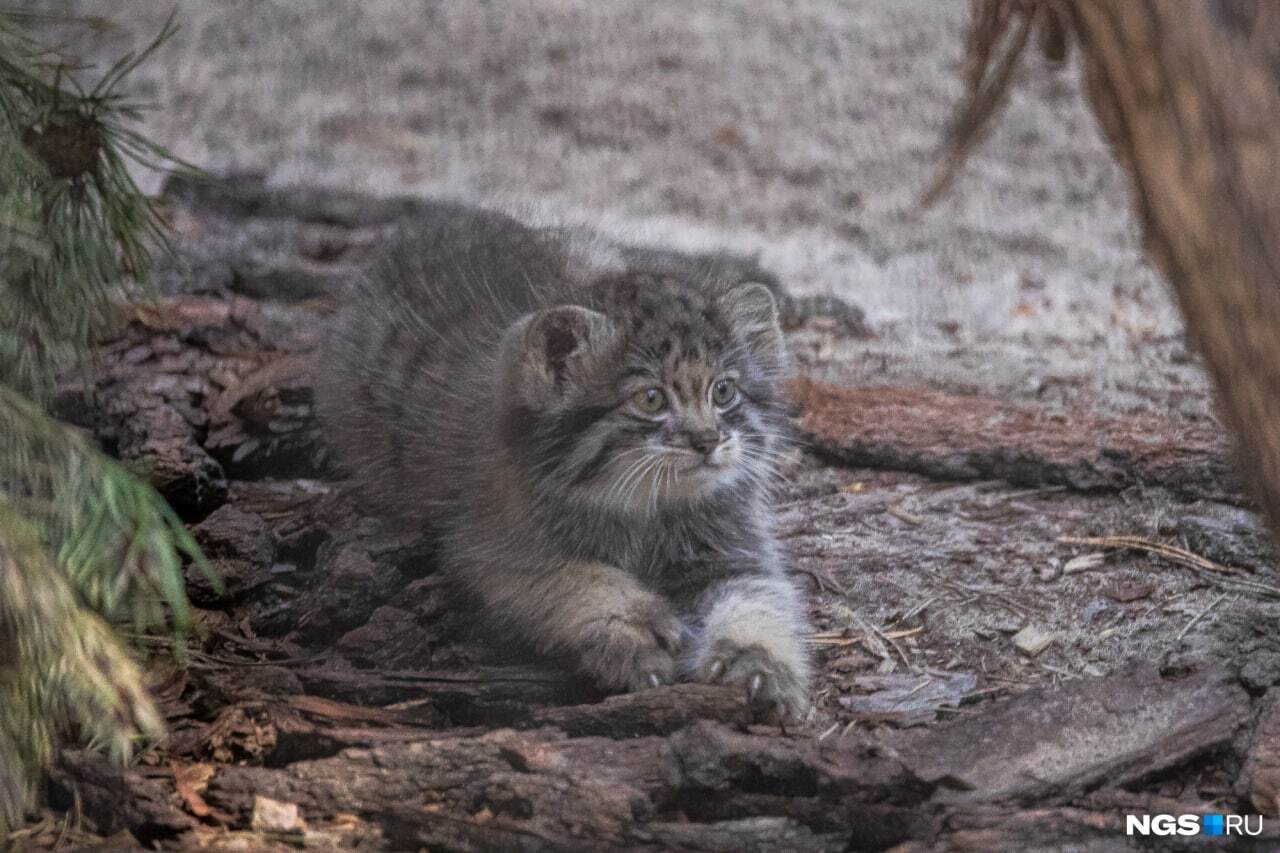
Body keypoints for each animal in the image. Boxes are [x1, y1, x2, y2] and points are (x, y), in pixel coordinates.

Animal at [325, 204, 814, 712]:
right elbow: (580, 579)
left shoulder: (734, 547)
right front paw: (632, 626)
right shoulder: (492, 549)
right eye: (651, 399)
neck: (644, 508)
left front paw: (757, 662)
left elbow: (758, 599)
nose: (708, 440)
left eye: (722, 391)